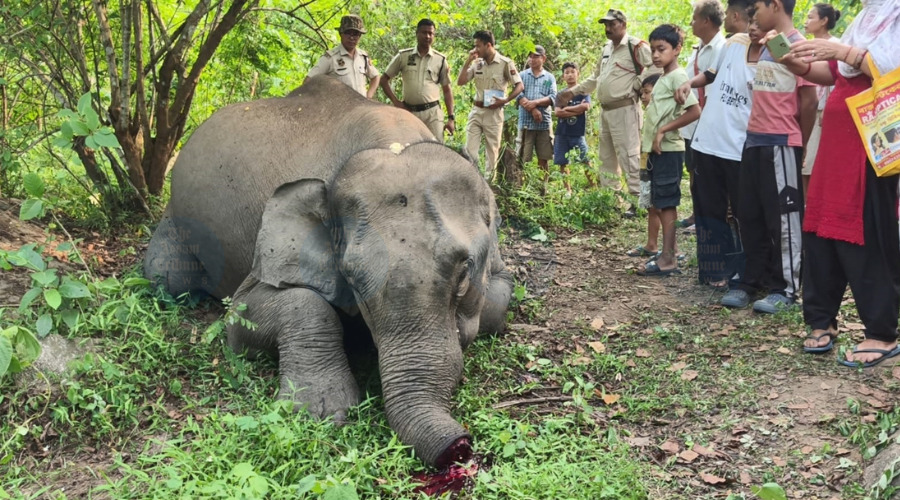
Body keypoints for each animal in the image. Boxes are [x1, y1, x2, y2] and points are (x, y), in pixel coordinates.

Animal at [143, 76, 512, 468]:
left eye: (464, 273)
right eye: (353, 279)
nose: (459, 445)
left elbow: (497, 302)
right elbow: (246, 313)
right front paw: (320, 412)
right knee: (168, 278)